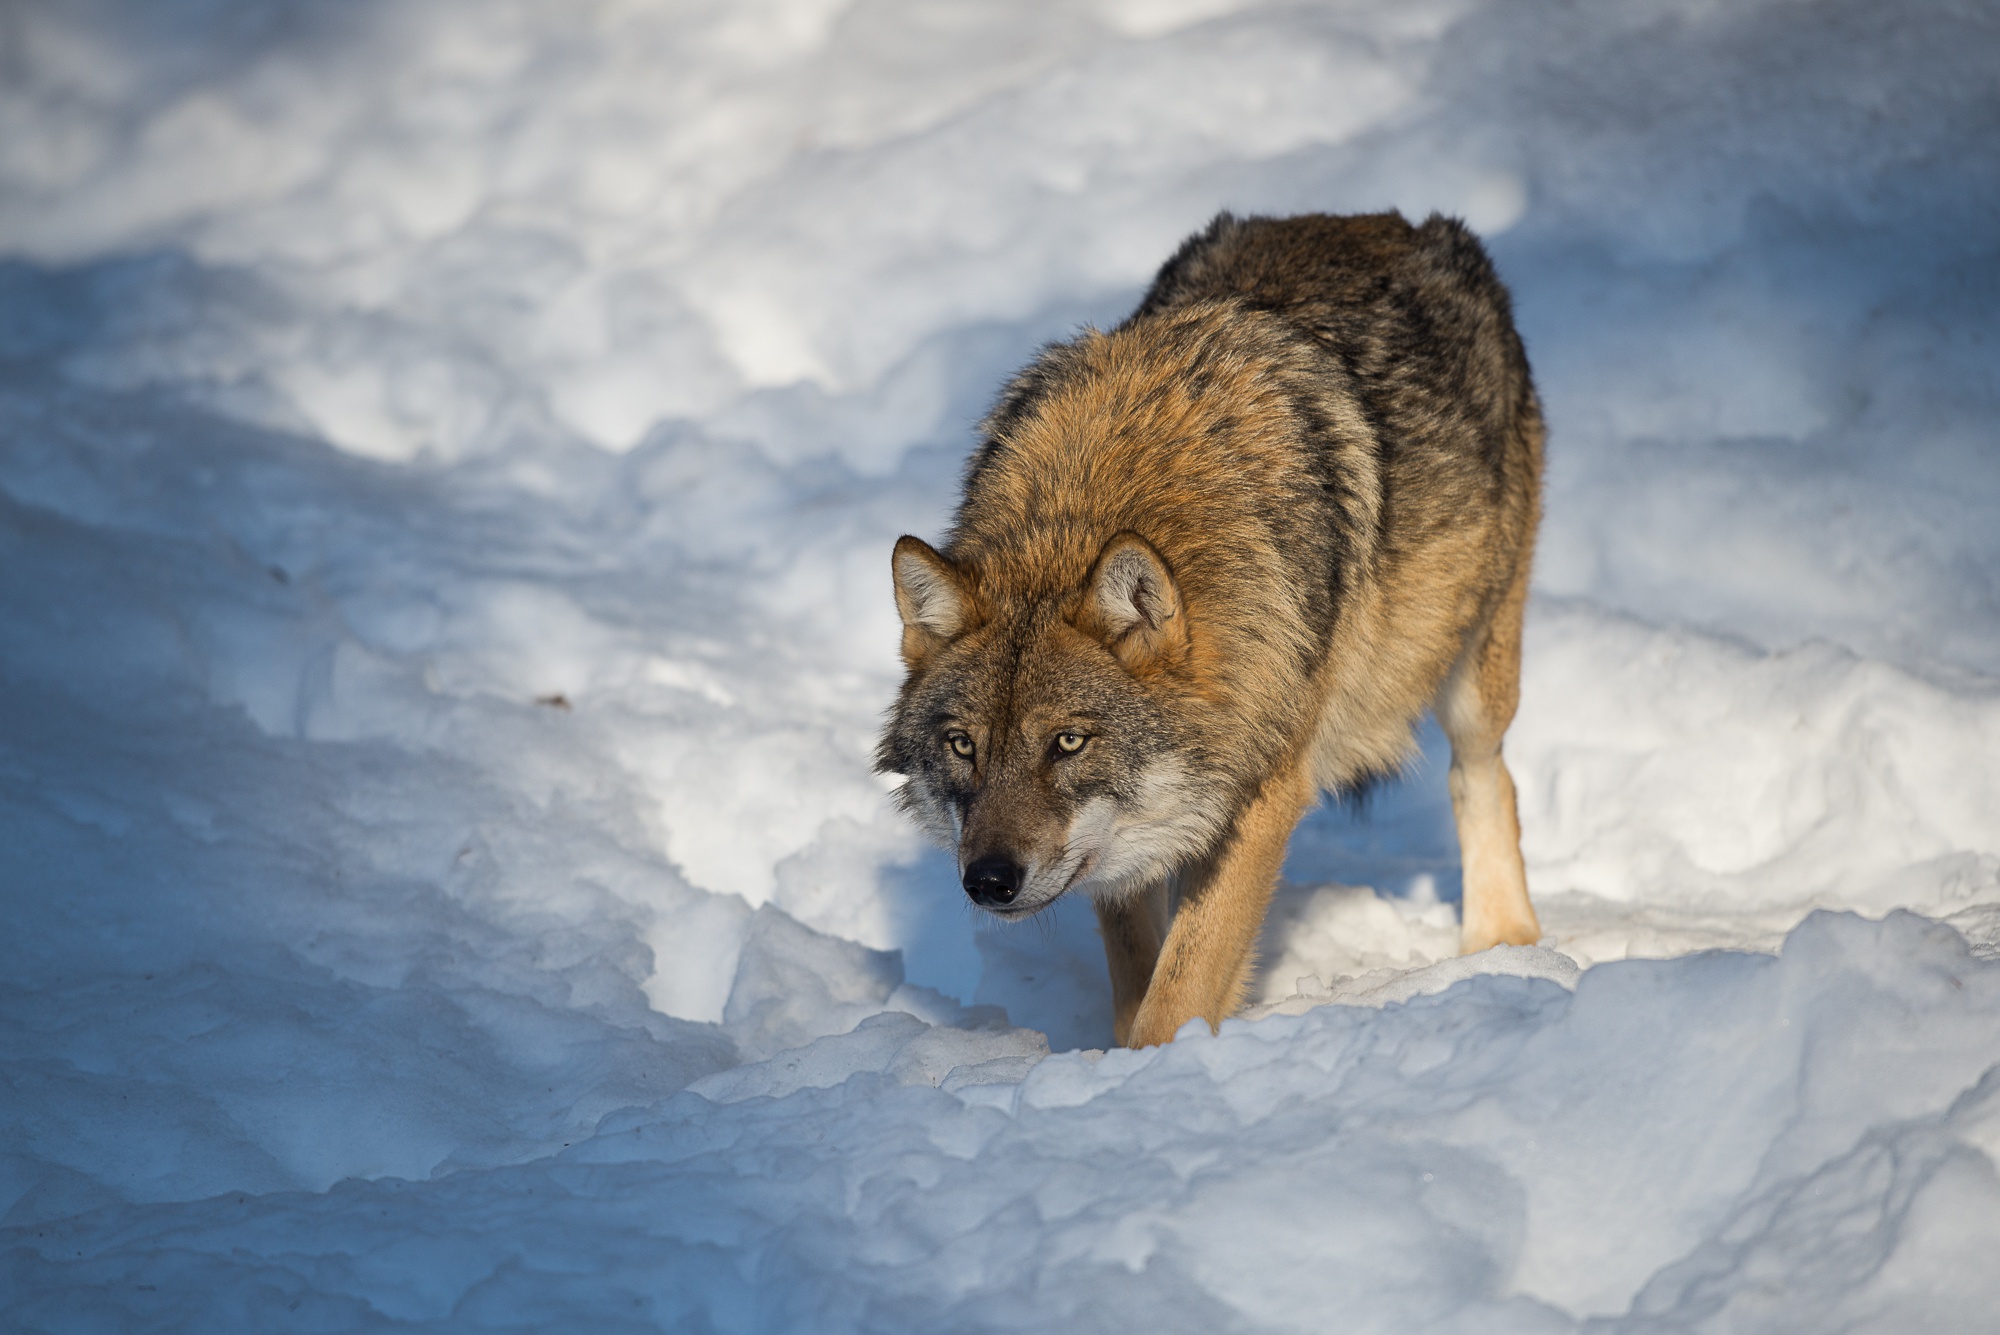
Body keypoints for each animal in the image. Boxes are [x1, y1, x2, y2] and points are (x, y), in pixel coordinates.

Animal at [876, 208, 1544, 1047]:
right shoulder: (1123, 846)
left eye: (1068, 741)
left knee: (1486, 776)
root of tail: (1385, 219)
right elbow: (1138, 970)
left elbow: (1183, 982)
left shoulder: (1262, 793)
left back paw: (1502, 946)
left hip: (1474, 672)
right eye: (963, 745)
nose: (987, 879)